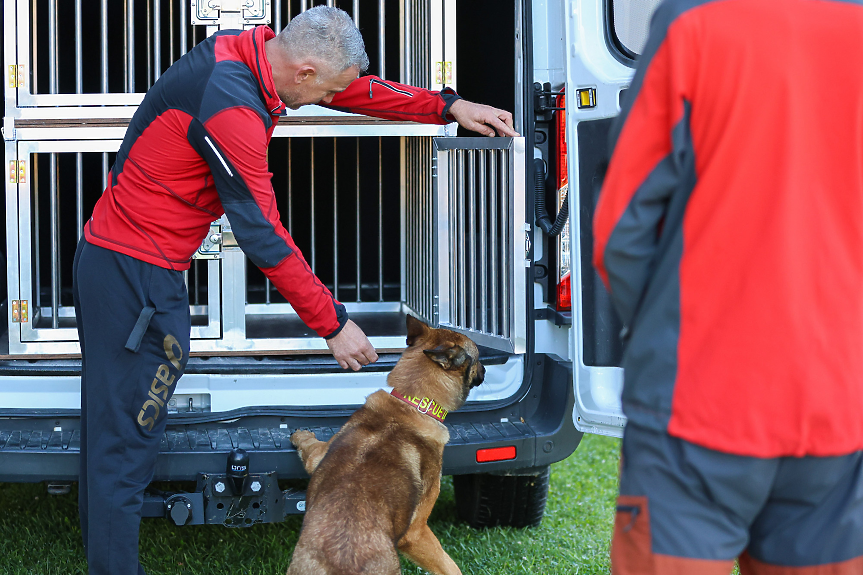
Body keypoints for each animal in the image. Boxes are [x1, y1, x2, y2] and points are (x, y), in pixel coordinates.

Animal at [288, 318, 486, 572]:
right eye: (478, 358)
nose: (485, 370)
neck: (410, 404)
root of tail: (343, 556)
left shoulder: (318, 456)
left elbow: (311, 447)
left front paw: (300, 435)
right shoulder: (415, 531)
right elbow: (450, 566)